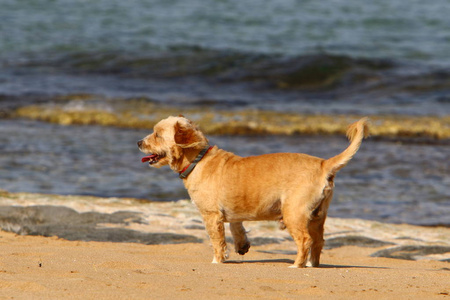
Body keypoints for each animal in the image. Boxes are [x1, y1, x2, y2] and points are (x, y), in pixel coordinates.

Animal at [137, 115, 370, 268]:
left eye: (157, 135)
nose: (139, 142)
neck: (199, 159)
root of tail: (323, 164)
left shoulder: (211, 216)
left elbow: (217, 242)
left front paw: (217, 261)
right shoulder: (232, 213)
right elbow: (237, 228)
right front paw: (241, 246)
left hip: (294, 213)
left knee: (305, 240)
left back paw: (297, 265)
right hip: (317, 216)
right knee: (319, 241)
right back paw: (312, 264)